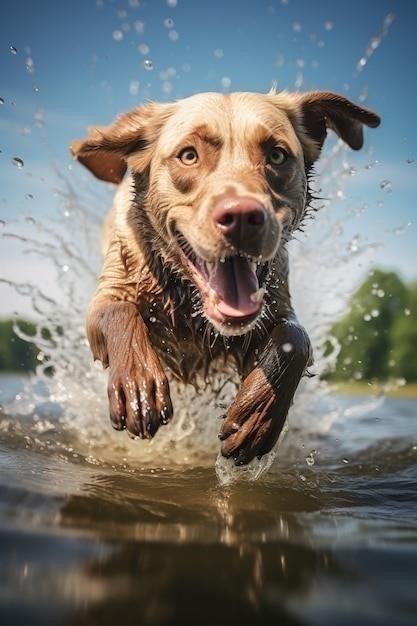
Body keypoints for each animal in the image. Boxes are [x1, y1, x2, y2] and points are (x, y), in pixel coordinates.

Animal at [71, 91, 380, 464]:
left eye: (277, 155)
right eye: (189, 155)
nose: (242, 217)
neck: (187, 302)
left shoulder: (276, 303)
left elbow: (296, 338)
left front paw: (257, 415)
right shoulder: (113, 285)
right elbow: (117, 311)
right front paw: (139, 383)